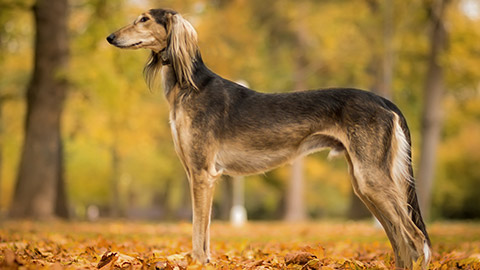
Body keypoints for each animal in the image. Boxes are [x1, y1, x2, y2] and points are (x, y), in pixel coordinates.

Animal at [107, 7, 434, 268]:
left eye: (144, 19)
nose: (110, 37)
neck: (190, 86)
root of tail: (384, 100)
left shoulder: (202, 173)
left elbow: (199, 230)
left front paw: (199, 263)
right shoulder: (197, 172)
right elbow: (206, 230)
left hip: (371, 178)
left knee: (416, 237)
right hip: (363, 182)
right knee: (401, 240)